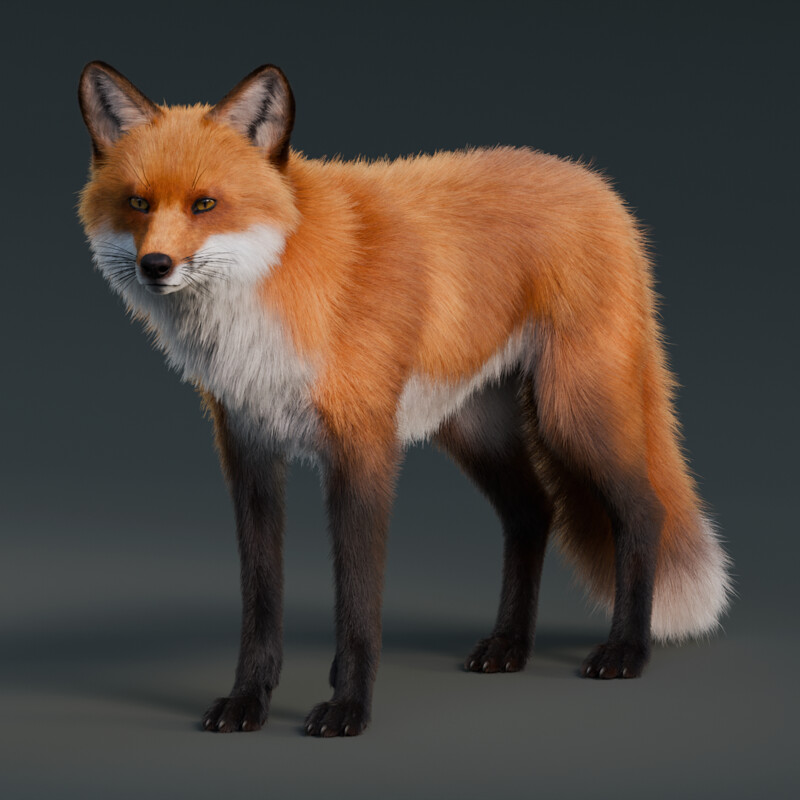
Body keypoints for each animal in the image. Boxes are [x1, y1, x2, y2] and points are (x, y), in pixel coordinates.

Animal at [77, 61, 731, 737]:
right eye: (137, 203)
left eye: (205, 204)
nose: (156, 265)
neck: (273, 301)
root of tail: (594, 182)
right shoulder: (250, 450)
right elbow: (260, 599)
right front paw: (247, 700)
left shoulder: (362, 445)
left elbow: (358, 601)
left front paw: (348, 707)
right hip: (474, 428)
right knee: (533, 511)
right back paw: (509, 645)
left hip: (572, 412)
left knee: (644, 510)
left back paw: (627, 649)